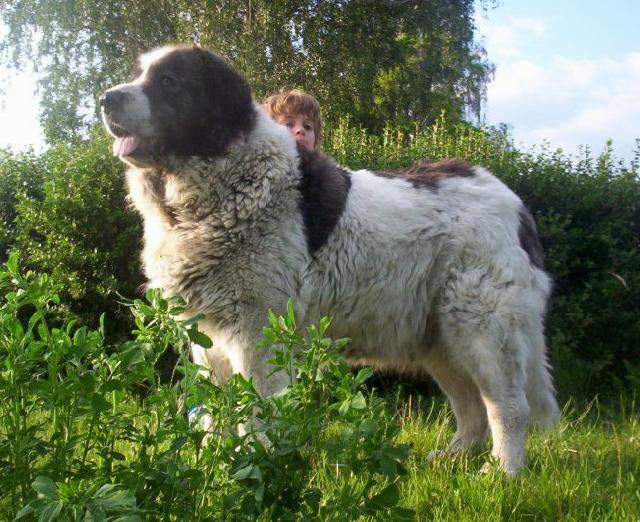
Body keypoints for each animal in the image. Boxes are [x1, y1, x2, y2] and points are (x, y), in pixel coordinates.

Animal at [101, 45, 560, 476]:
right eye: (138, 75)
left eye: (169, 82)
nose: (106, 98)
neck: (219, 187)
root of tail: (514, 203)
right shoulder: (209, 339)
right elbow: (217, 411)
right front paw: (213, 465)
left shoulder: (256, 332)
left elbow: (257, 410)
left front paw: (256, 465)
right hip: (440, 339)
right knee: (471, 407)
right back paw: (451, 458)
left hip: (481, 329)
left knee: (507, 405)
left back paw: (502, 473)